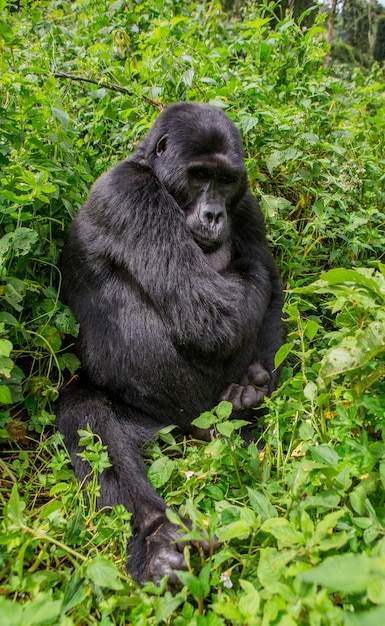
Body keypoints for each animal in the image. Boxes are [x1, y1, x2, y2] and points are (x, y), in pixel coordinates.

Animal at [54, 101, 284, 584]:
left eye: (226, 180)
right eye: (199, 175)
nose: (215, 215)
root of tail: (185, 429)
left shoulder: (247, 204)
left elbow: (270, 291)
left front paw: (253, 389)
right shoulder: (130, 194)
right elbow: (214, 313)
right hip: (154, 419)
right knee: (88, 417)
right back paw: (156, 536)